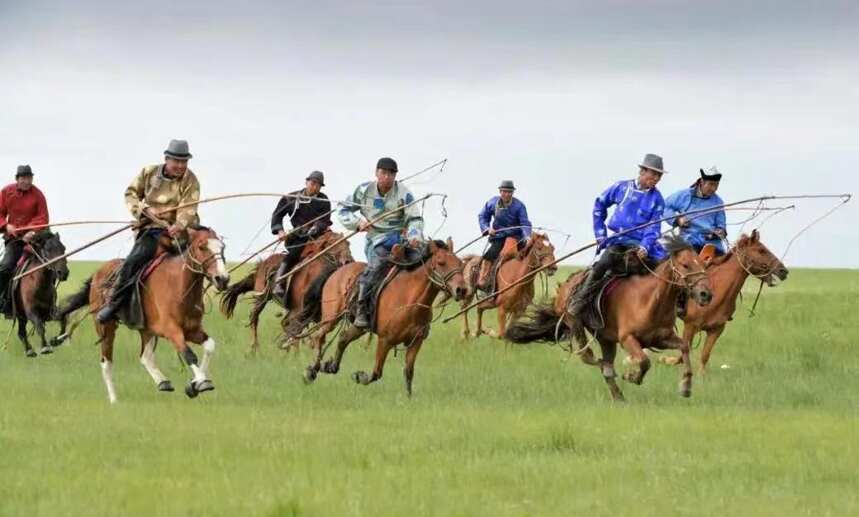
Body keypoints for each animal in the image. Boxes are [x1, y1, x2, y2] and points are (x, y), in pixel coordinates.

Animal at [54, 227, 232, 404]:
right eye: (202, 247)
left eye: (222, 247)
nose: (222, 279)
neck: (179, 286)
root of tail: (97, 273)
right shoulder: (171, 330)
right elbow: (188, 354)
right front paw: (201, 383)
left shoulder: (191, 330)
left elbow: (210, 346)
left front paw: (194, 385)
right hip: (106, 327)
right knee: (107, 361)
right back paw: (114, 399)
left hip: (146, 330)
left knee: (145, 356)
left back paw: (163, 382)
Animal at [223, 229, 358, 352]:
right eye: (331, 242)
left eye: (348, 243)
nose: (348, 261)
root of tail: (262, 264)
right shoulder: (299, 310)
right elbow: (294, 330)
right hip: (262, 298)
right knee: (255, 317)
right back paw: (254, 348)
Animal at [300, 239, 464, 396]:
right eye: (441, 262)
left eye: (460, 263)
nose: (461, 289)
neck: (409, 301)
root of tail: (337, 270)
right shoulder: (385, 340)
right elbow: (376, 373)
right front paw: (359, 376)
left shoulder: (415, 341)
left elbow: (408, 372)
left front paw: (409, 398)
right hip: (331, 319)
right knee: (319, 337)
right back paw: (311, 371)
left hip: (360, 327)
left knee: (343, 338)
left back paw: (330, 366)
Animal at [508, 236, 716, 402]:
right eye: (686, 265)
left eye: (703, 264)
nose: (706, 294)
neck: (649, 300)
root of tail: (565, 285)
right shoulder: (627, 339)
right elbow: (644, 361)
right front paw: (632, 376)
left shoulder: (661, 338)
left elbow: (684, 347)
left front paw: (686, 386)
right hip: (574, 323)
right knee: (589, 358)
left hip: (606, 339)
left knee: (605, 366)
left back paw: (618, 396)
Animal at [660, 230, 792, 370]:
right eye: (761, 250)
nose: (783, 271)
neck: (716, 292)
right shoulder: (690, 326)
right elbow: (684, 352)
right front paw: (665, 359)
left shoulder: (716, 330)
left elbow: (704, 356)